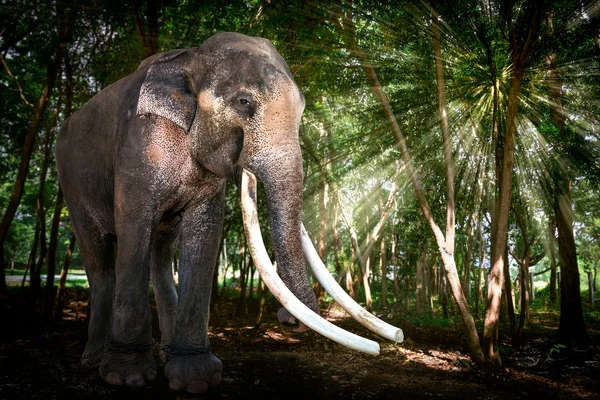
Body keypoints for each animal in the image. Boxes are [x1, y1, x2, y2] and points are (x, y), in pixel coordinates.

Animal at [55, 31, 404, 394]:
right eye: (244, 102)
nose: (287, 320)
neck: (191, 58)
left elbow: (205, 233)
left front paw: (196, 379)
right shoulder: (141, 142)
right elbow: (134, 226)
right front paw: (127, 377)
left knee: (161, 253)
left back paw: (164, 353)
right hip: (71, 181)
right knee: (99, 260)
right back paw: (95, 361)